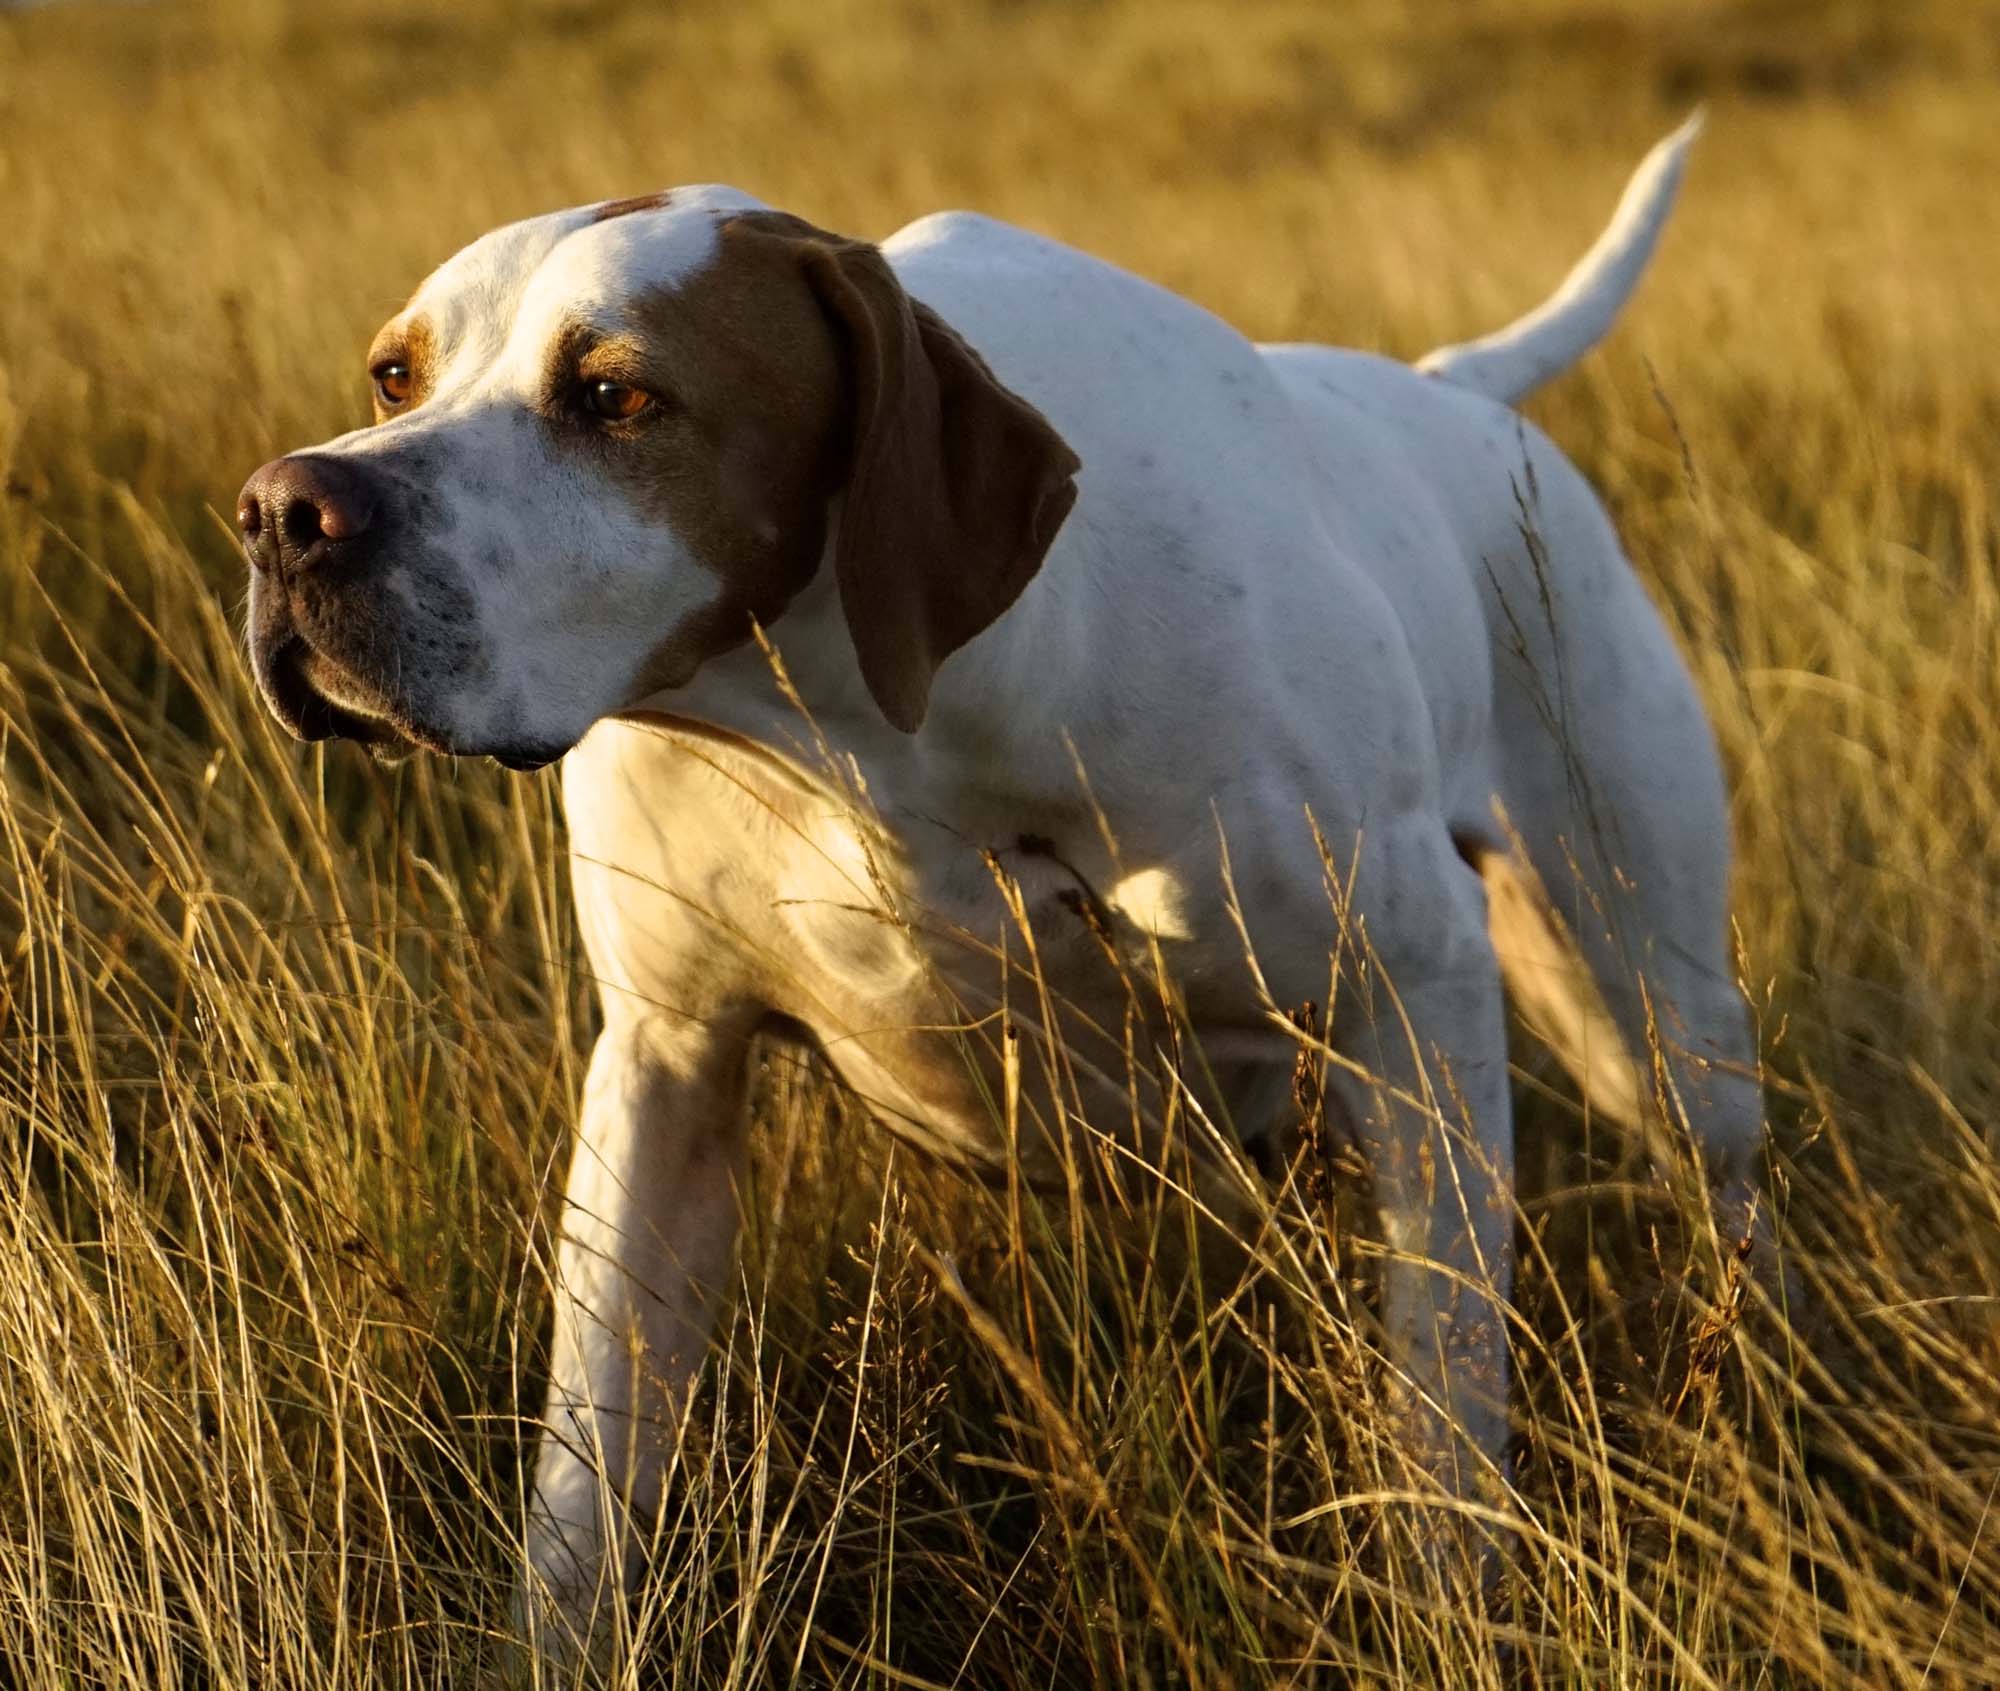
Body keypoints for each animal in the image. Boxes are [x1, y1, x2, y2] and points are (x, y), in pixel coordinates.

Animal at [238, 115, 1768, 1671]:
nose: (286, 512)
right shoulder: (666, 1062)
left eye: (614, 394)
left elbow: (1443, 1398)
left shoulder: (1416, 994)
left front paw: (1447, 1610)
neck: (864, 734)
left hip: (1642, 1008)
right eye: (395, 374)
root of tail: (1447, 392)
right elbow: (584, 1473)